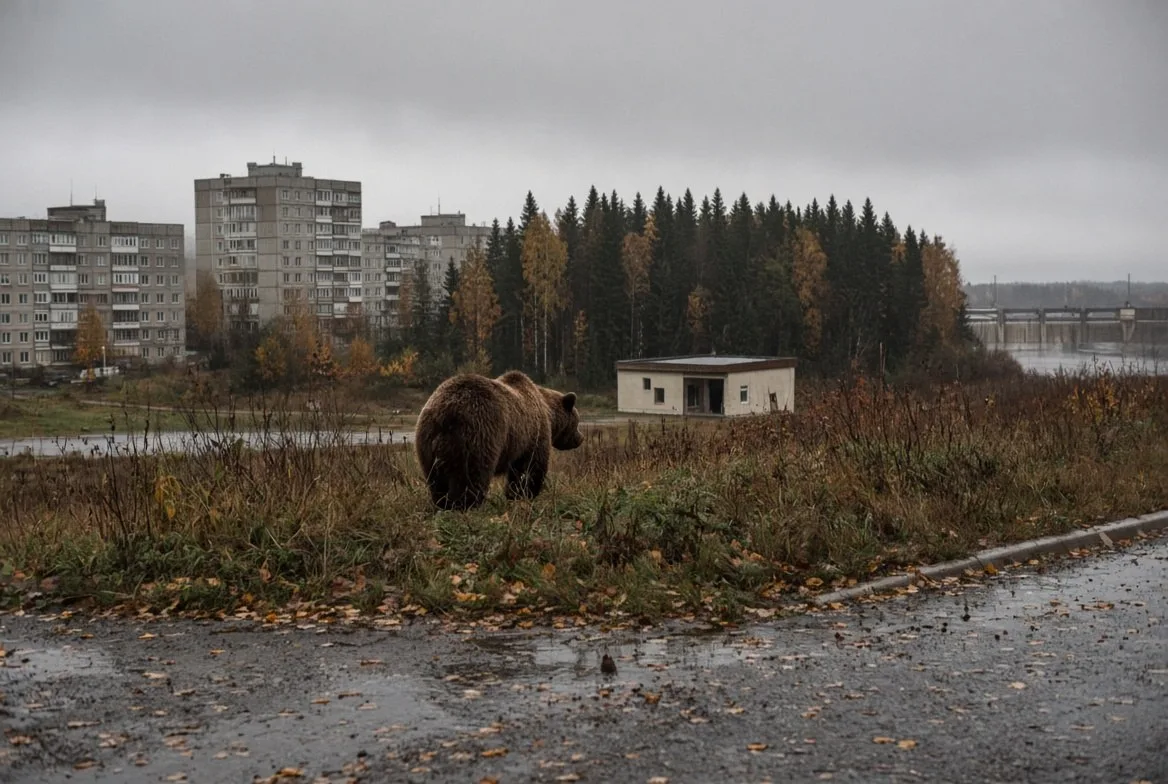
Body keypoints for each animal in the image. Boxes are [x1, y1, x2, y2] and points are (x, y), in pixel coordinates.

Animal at [414, 370, 584, 510]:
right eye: (577, 422)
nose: (580, 438)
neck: (548, 412)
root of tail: (445, 413)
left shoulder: (519, 441)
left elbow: (517, 472)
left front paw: (514, 494)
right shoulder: (534, 433)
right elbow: (532, 466)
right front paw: (527, 493)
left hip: (426, 440)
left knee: (435, 479)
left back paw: (442, 502)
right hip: (477, 434)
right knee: (472, 475)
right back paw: (466, 504)